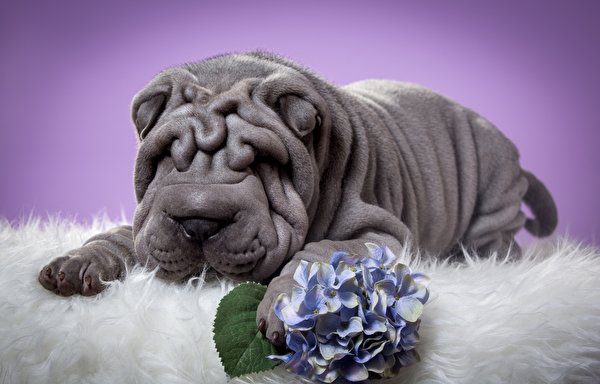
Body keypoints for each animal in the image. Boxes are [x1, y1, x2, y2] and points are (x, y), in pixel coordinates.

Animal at [37, 50, 556, 344]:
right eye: (168, 156)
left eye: (261, 163)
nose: (199, 221)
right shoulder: (150, 221)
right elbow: (122, 236)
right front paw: (76, 264)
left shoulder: (379, 232)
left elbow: (320, 251)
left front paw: (291, 306)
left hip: (492, 188)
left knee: (500, 241)